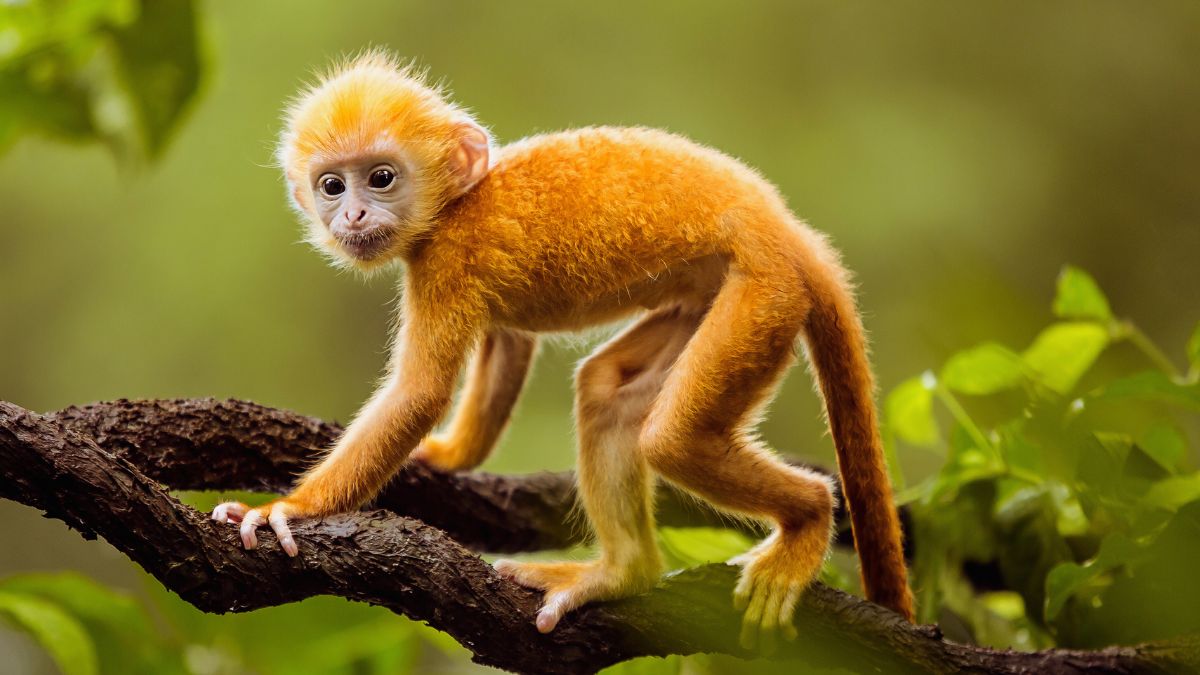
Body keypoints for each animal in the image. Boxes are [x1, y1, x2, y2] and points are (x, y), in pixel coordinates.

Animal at [210, 51, 914, 648]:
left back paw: (808, 520)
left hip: (764, 294)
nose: (351, 215)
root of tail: (786, 230)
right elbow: (508, 341)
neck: (456, 202)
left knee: (673, 439)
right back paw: (624, 572)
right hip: (716, 295)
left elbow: (419, 394)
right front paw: (446, 456)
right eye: (332, 186)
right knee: (607, 392)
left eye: (380, 178)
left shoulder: (448, 260)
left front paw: (287, 510)